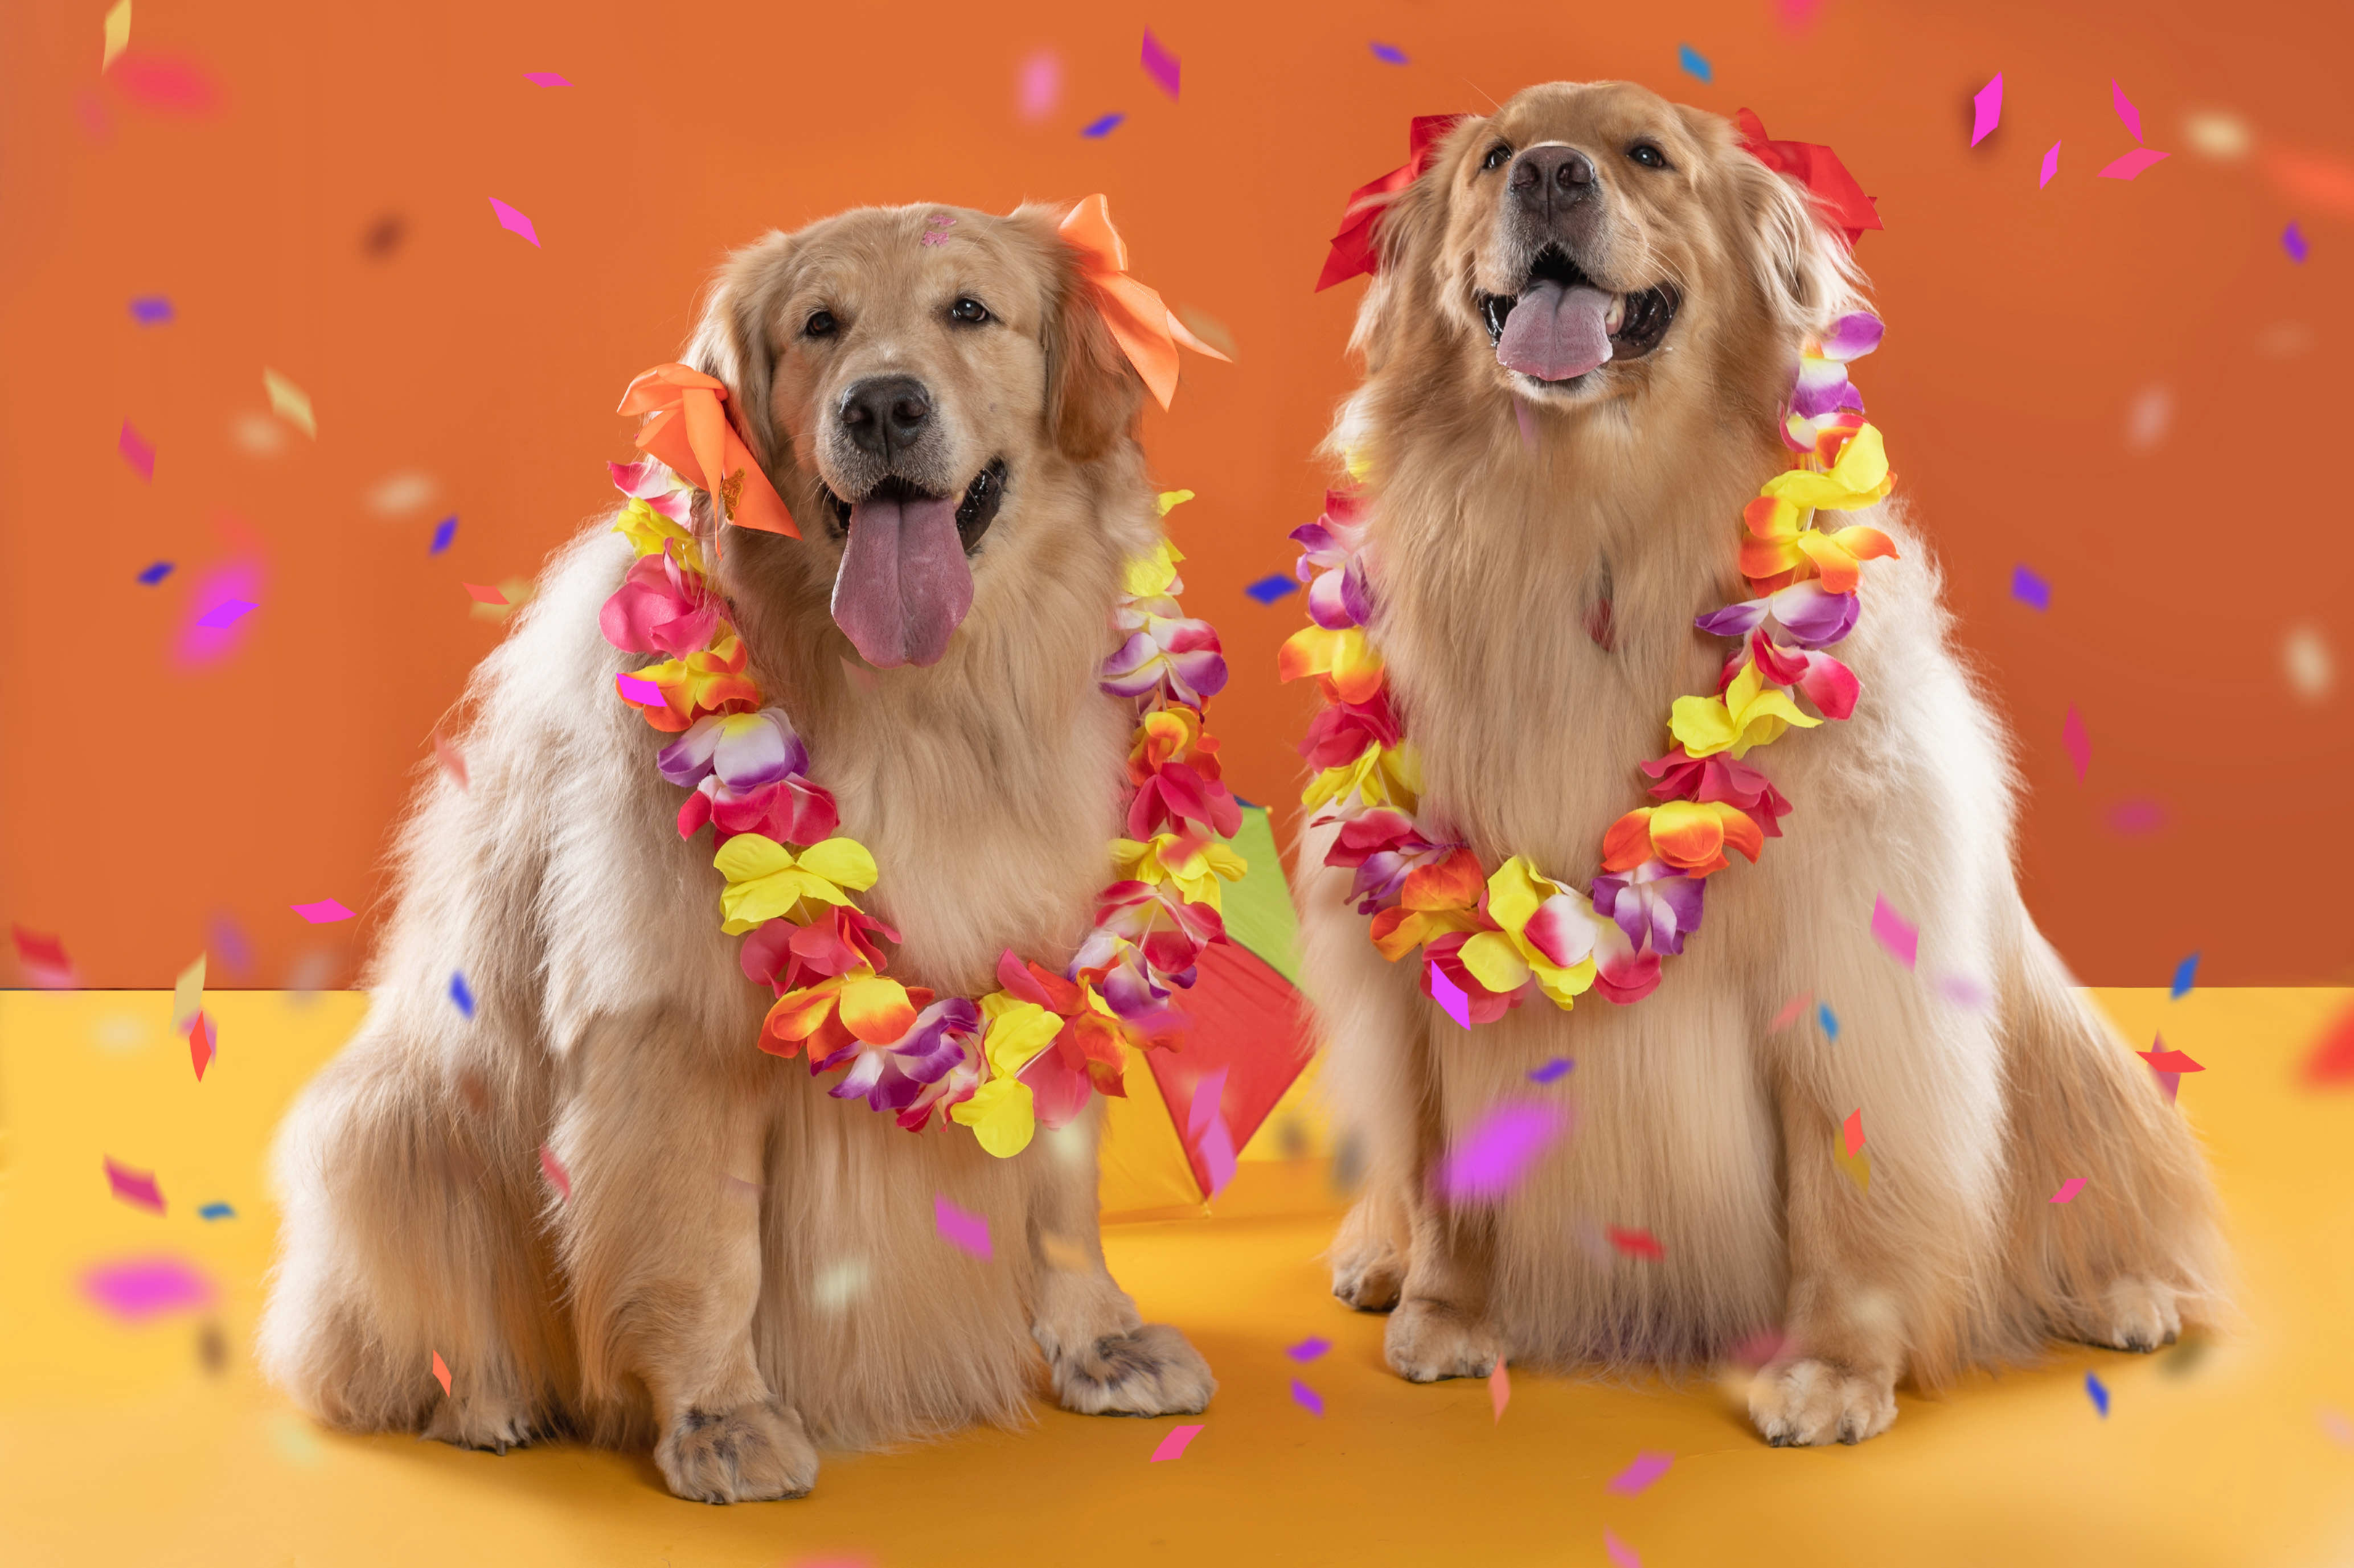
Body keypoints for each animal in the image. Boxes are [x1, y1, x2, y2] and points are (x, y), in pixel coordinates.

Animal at [257, 201, 1214, 1497]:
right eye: (820, 325)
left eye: (970, 311)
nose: (881, 407)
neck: (925, 701)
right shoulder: (672, 1025)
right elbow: (707, 1251)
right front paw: (719, 1417)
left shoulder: (1047, 967)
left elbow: (1059, 1194)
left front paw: (1100, 1338)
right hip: (393, 1126)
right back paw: (488, 1399)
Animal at [1299, 79, 2231, 1431]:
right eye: (1488, 158)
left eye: (1647, 154)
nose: (1548, 173)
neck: (1582, 524)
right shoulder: (1419, 961)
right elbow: (1441, 1173)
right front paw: (1445, 1314)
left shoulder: (1850, 952)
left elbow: (1848, 1183)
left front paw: (1834, 1373)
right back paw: (1375, 1260)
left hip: (2063, 1051)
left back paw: (2122, 1291)